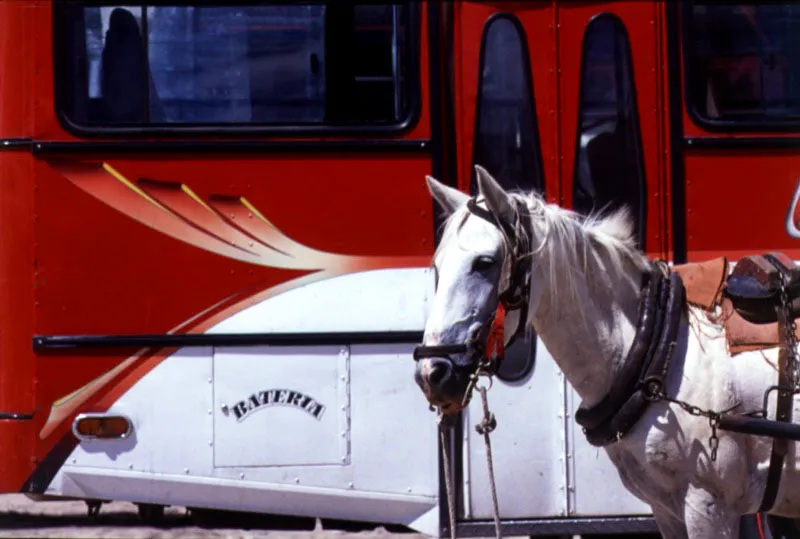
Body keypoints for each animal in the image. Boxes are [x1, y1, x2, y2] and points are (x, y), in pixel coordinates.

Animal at [416, 167, 800, 539]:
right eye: (437, 264)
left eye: (484, 262)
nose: (432, 373)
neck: (662, 347)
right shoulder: (667, 509)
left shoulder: (709, 506)